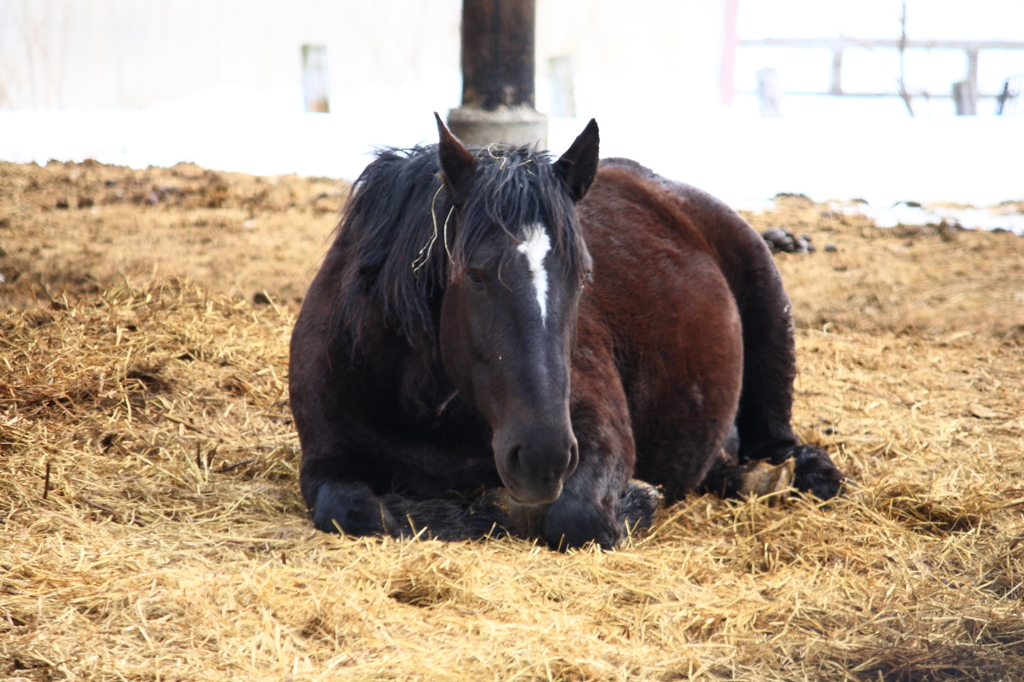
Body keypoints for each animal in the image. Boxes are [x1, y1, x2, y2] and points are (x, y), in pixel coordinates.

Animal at [290, 112, 847, 548]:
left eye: (583, 275)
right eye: (474, 275)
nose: (543, 456)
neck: (423, 411)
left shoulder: (598, 434)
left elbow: (574, 517)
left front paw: (638, 498)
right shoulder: (325, 460)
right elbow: (352, 510)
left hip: (772, 321)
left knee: (778, 441)